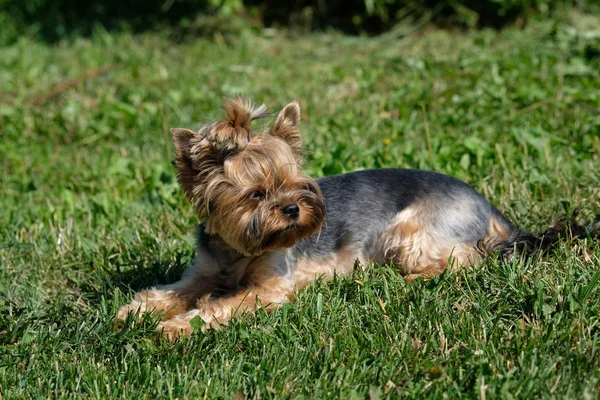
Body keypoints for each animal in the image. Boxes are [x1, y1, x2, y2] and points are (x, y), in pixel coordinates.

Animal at [115, 95, 596, 340]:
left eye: (299, 184)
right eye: (256, 195)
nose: (293, 209)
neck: (239, 249)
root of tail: (488, 206)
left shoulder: (270, 287)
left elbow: (220, 305)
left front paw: (174, 327)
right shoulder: (203, 270)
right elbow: (178, 290)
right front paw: (136, 312)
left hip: (409, 230)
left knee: (462, 262)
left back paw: (401, 281)